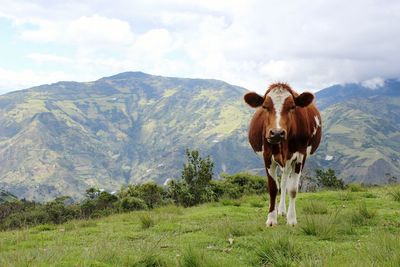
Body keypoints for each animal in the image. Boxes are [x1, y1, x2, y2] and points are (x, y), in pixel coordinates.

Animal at [244, 83, 322, 226]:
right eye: (265, 107)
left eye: (292, 107)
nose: (276, 133)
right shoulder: (267, 156)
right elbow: (273, 188)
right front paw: (271, 218)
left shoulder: (300, 156)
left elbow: (293, 189)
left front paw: (291, 219)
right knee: (281, 183)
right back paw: (278, 211)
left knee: (285, 182)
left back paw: (282, 211)